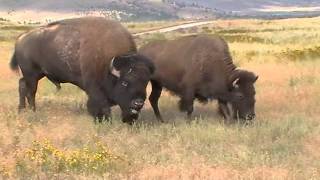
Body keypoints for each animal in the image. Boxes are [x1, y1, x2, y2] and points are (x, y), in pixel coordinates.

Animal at [10, 16, 155, 124]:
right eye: (125, 82)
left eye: (145, 82)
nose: (138, 103)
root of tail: (21, 37)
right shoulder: (95, 89)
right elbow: (101, 106)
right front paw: (103, 121)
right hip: (31, 74)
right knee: (31, 92)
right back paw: (32, 111)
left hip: (38, 74)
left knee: (22, 85)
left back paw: (21, 110)